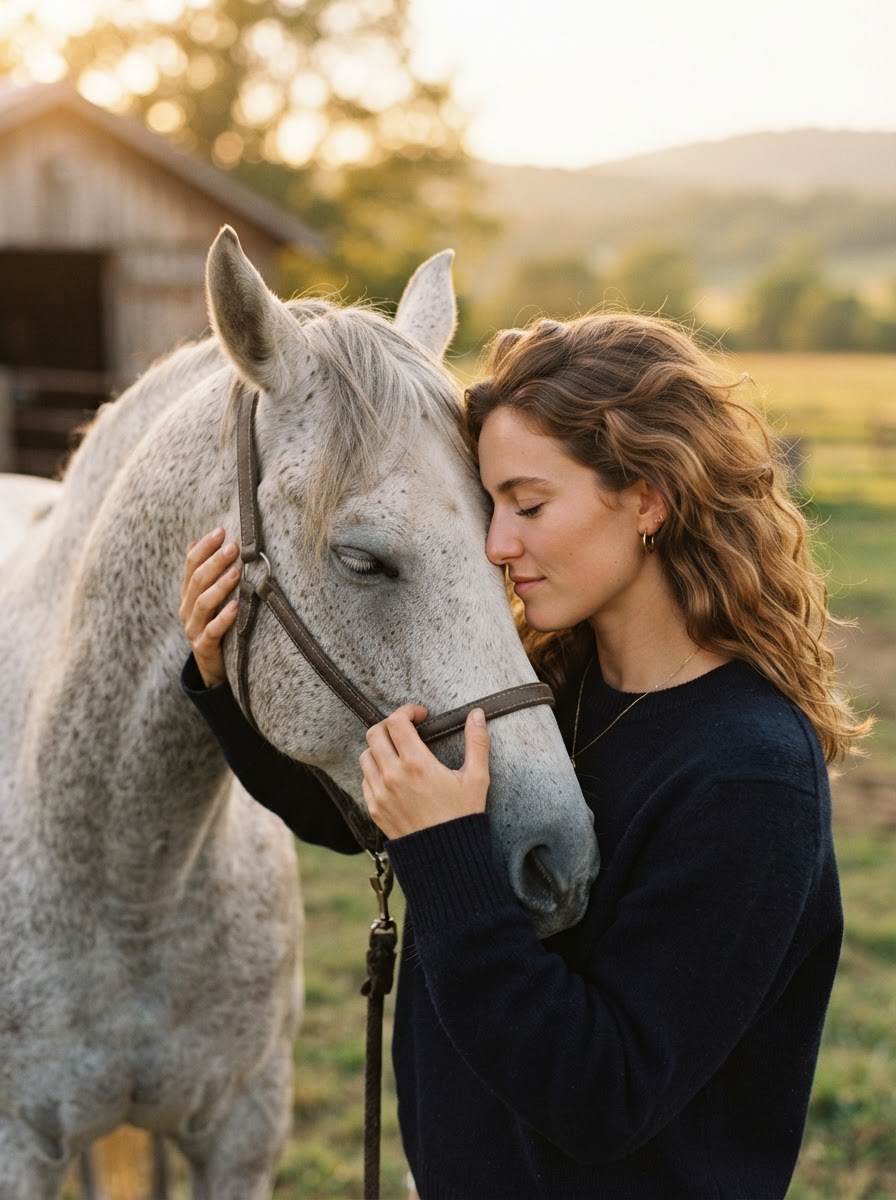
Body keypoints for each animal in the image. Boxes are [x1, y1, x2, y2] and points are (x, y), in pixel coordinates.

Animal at [0, 226, 600, 1199]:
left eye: (506, 534)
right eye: (361, 560)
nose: (562, 858)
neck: (129, 879)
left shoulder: (244, 1131)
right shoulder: (17, 1144)